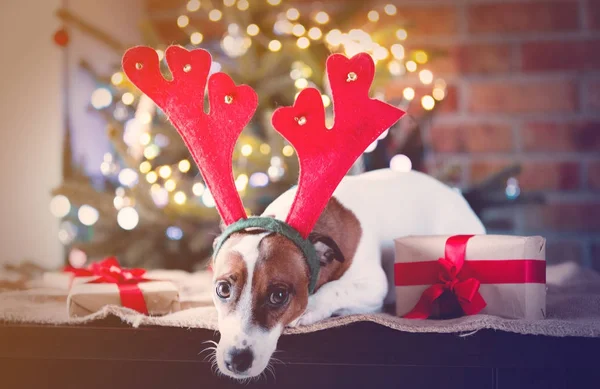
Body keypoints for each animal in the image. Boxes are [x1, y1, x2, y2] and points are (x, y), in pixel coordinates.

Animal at [209, 168, 486, 378]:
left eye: (279, 295)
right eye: (222, 289)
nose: (235, 360)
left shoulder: (375, 286)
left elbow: (336, 288)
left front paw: (311, 308)